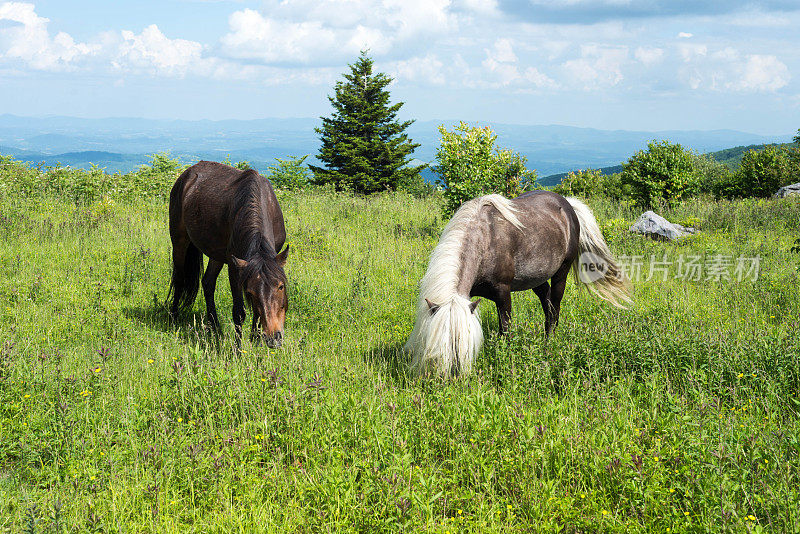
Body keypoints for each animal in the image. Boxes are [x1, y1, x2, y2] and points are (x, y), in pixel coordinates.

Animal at [167, 161, 290, 350]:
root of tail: (186, 175)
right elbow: (239, 311)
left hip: (216, 253)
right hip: (180, 241)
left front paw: (255, 339)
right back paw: (174, 318)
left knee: (207, 282)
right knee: (179, 279)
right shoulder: (235, 267)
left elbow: (256, 311)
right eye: (250, 292)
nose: (273, 338)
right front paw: (238, 350)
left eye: (281, 286)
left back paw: (214, 327)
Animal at [406, 192, 632, 376]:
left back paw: (549, 344)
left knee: (555, 307)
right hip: (538, 279)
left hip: (561, 273)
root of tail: (567, 204)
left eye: (463, 345)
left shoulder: (503, 294)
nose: (454, 376)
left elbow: (505, 329)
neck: (485, 240)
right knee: (547, 305)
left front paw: (505, 359)